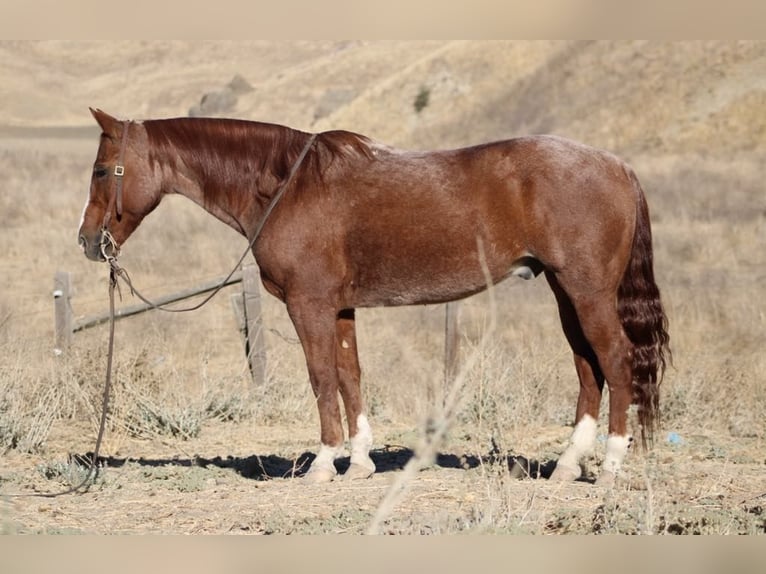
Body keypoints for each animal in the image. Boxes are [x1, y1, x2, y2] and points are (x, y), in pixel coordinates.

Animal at [78, 108, 670, 486]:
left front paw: (323, 463)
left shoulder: (309, 305)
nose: (87, 241)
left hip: (587, 292)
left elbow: (321, 378)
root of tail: (619, 166)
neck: (288, 187)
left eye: (103, 170)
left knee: (615, 361)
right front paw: (360, 460)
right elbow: (350, 376)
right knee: (588, 369)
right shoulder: (340, 308)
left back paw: (610, 466)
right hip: (566, 292)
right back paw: (569, 465)